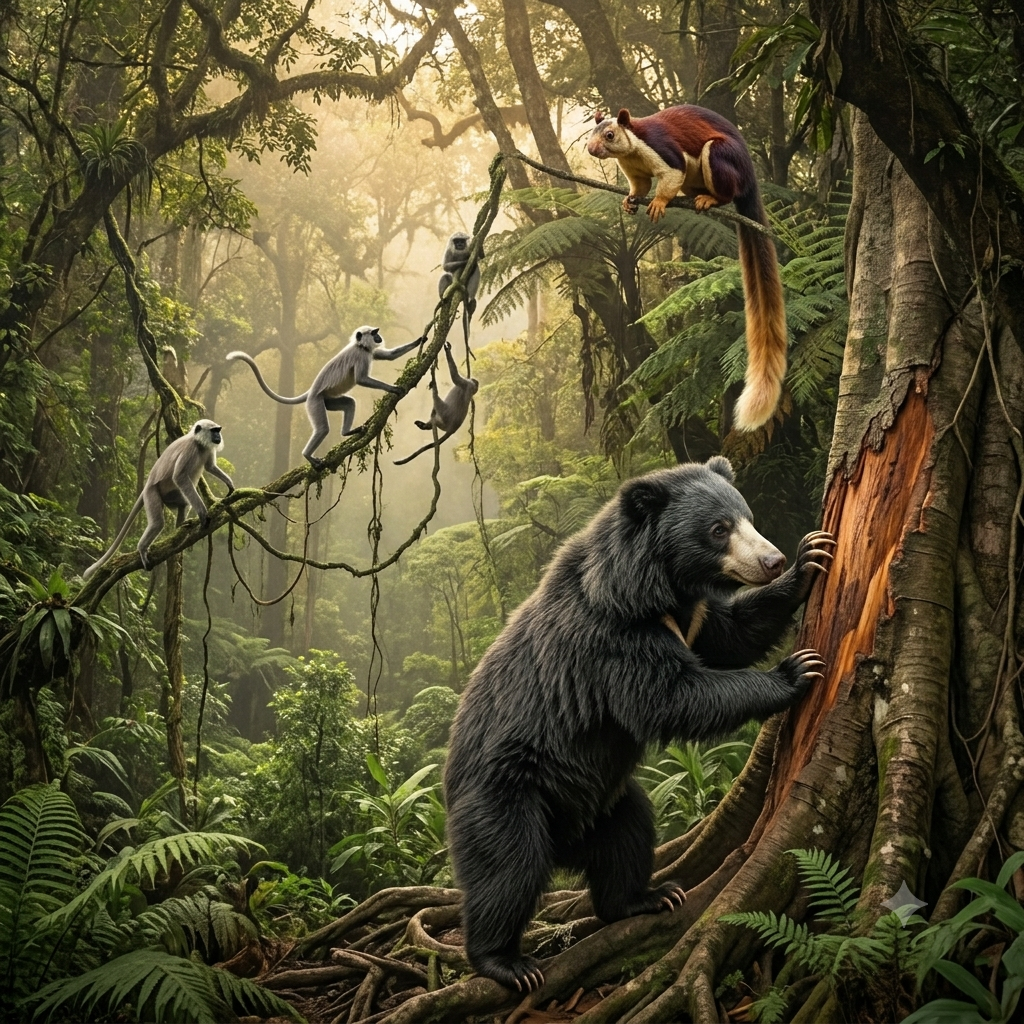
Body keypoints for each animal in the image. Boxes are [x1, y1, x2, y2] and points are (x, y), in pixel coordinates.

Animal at [83, 419, 234, 578]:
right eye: (214, 431)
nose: (218, 436)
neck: (199, 443)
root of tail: (146, 486)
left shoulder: (208, 450)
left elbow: (210, 467)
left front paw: (229, 483)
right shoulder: (190, 449)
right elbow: (179, 477)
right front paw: (203, 513)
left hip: (170, 495)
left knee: (185, 503)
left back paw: (180, 526)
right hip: (152, 493)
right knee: (157, 522)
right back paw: (142, 548)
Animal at [227, 326, 421, 470]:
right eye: (374, 333)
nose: (379, 337)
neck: (360, 346)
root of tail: (311, 392)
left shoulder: (368, 352)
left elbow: (389, 356)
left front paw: (420, 340)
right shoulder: (361, 356)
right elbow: (361, 379)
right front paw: (393, 389)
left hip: (327, 400)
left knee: (349, 403)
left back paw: (347, 432)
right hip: (315, 402)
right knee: (322, 429)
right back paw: (308, 455)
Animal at [587, 106, 786, 432]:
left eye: (610, 135)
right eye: (592, 133)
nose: (591, 149)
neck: (632, 152)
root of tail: (750, 179)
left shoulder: (663, 151)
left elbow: (671, 176)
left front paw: (658, 202)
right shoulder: (634, 171)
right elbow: (639, 186)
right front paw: (629, 201)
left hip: (720, 157)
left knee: (725, 190)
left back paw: (709, 199)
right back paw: (693, 198)